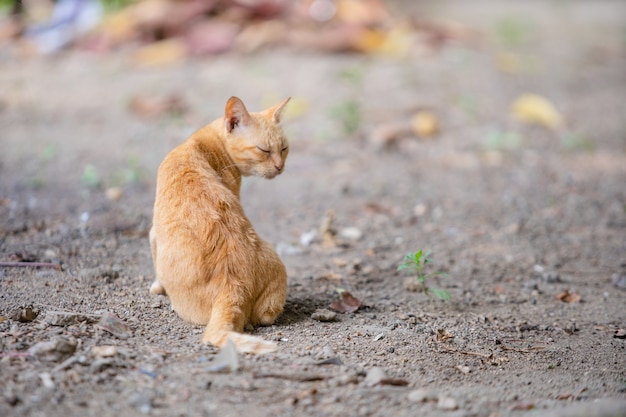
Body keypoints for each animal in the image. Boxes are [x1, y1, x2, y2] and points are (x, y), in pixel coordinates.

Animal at [149, 96, 290, 352]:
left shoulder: (154, 233)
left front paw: (157, 287)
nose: (279, 167)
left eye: (283, 148)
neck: (202, 142)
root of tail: (233, 284)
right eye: (264, 150)